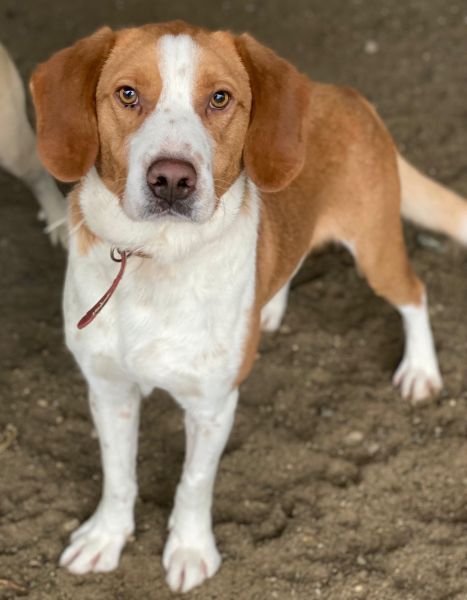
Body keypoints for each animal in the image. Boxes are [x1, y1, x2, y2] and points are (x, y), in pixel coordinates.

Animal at [30, 22, 467, 593]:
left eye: (220, 98)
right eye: (127, 94)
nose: (172, 179)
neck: (157, 257)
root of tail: (345, 94)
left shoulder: (213, 407)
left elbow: (194, 483)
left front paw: (190, 551)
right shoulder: (109, 389)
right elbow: (118, 474)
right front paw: (107, 536)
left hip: (377, 251)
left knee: (415, 293)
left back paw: (420, 369)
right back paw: (271, 308)